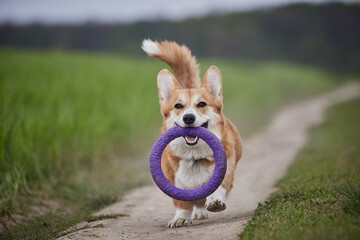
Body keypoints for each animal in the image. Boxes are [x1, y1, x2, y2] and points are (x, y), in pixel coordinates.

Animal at [141, 39, 242, 227]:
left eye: (201, 104)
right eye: (178, 106)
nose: (188, 118)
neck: (194, 156)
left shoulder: (226, 172)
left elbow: (219, 187)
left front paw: (215, 202)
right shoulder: (174, 182)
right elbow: (182, 202)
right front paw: (180, 218)